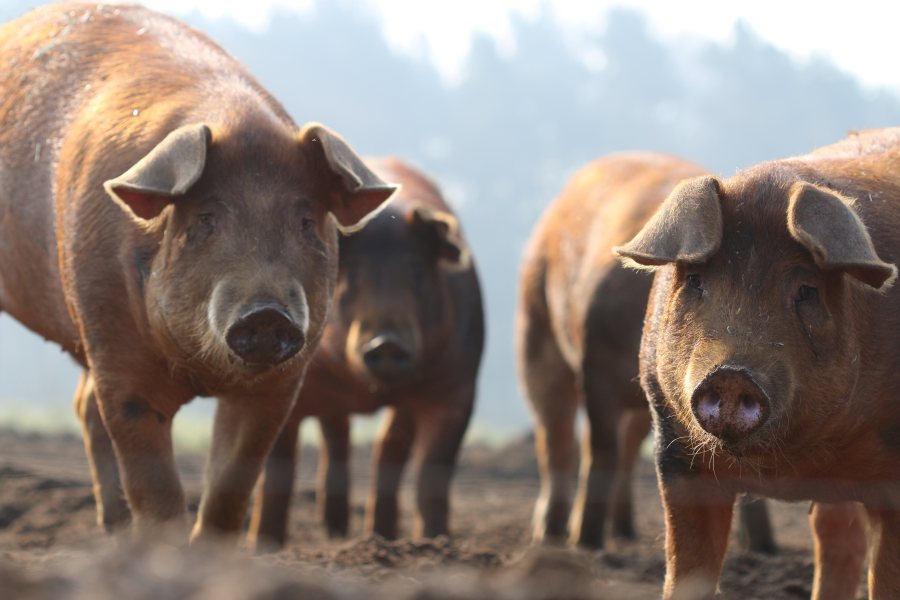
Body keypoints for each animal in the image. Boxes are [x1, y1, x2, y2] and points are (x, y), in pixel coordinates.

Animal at [0, 2, 396, 540]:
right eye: (206, 218)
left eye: (305, 221)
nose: (266, 313)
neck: (201, 374)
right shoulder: (114, 347)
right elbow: (156, 484)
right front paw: (166, 554)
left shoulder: (281, 383)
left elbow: (231, 485)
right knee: (90, 412)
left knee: (84, 409)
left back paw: (116, 536)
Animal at [246, 158, 486, 548]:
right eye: (352, 273)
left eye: (417, 271)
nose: (386, 342)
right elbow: (278, 472)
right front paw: (264, 547)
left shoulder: (457, 389)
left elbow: (432, 473)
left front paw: (435, 543)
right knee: (338, 435)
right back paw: (335, 531)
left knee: (382, 448)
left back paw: (377, 536)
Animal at [516, 151, 776, 552]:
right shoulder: (597, 367)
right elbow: (600, 450)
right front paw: (587, 544)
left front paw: (762, 549)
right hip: (536, 325)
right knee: (559, 435)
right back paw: (556, 536)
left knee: (622, 447)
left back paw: (625, 533)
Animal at [616, 127, 900, 600]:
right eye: (697, 280)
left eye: (806, 289)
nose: (732, 376)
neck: (787, 467)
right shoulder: (676, 454)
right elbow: (685, 571)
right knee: (837, 540)